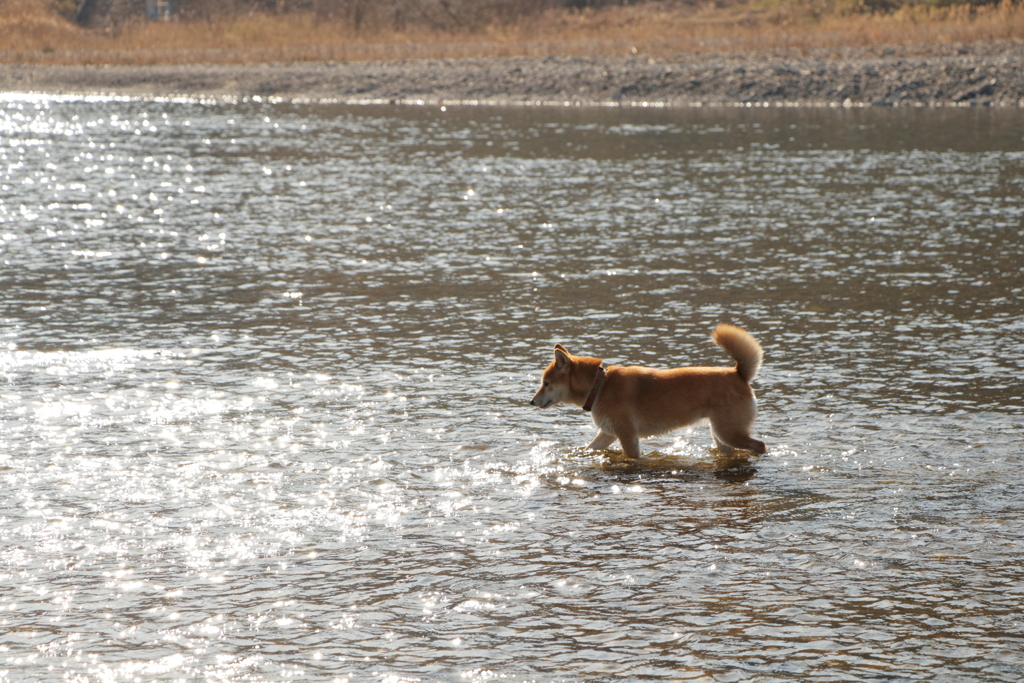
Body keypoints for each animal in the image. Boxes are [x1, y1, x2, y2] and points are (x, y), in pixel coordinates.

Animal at [532, 325, 765, 458]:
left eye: (546, 383)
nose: (532, 402)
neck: (600, 386)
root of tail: (738, 373)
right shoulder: (608, 433)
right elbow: (589, 448)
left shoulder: (627, 436)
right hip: (721, 436)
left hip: (729, 433)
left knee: (760, 445)